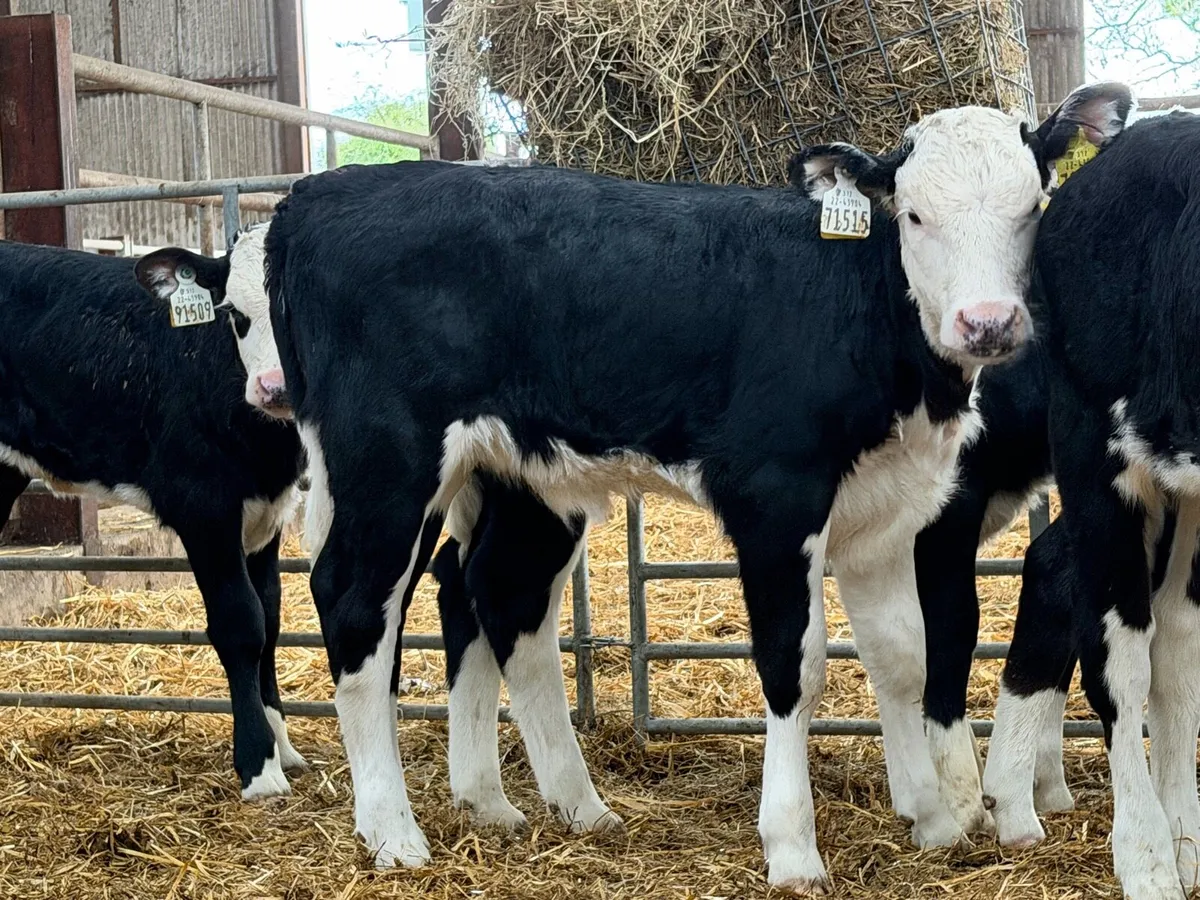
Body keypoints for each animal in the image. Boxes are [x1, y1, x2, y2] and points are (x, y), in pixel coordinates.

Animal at [0, 237, 308, 801]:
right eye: (234, 313)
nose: (275, 387)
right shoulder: (202, 506)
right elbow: (241, 623)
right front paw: (259, 766)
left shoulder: (268, 517)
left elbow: (271, 619)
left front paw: (283, 746)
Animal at [138, 82, 1131, 893]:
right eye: (915, 216)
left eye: (1033, 207)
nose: (988, 324)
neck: (863, 310)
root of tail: (317, 195)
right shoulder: (774, 496)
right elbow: (797, 663)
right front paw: (793, 846)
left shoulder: (884, 511)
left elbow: (905, 657)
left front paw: (931, 818)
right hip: (386, 463)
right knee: (355, 612)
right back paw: (392, 831)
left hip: (513, 479)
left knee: (501, 602)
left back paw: (552, 805)